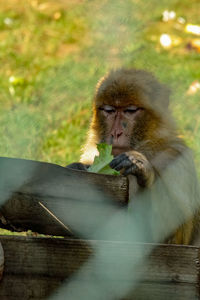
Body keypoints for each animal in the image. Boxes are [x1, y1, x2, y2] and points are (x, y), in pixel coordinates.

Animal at [67, 68, 200, 246]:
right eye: (109, 110)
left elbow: (174, 237)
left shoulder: (176, 158)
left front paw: (141, 169)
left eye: (130, 111)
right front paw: (76, 167)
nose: (116, 133)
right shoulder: (91, 153)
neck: (147, 146)